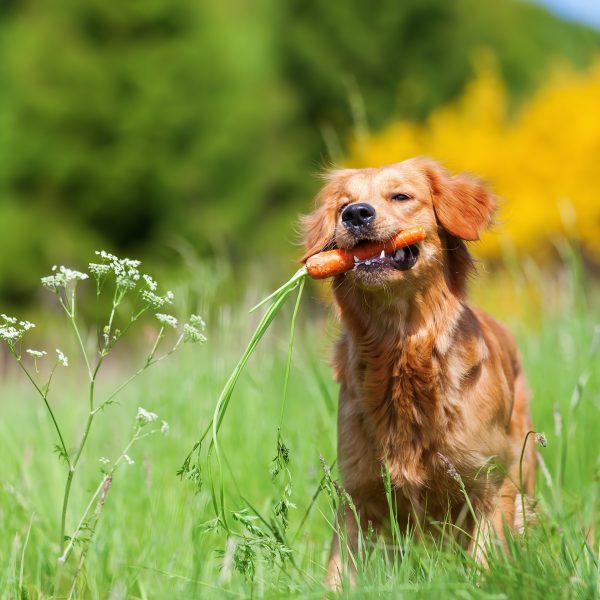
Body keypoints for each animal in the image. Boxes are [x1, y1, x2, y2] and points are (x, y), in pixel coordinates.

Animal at [302, 156, 536, 584]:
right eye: (343, 204)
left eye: (401, 196)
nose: (355, 214)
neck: (401, 350)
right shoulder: (359, 494)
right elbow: (338, 573)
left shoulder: (489, 485)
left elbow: (483, 563)